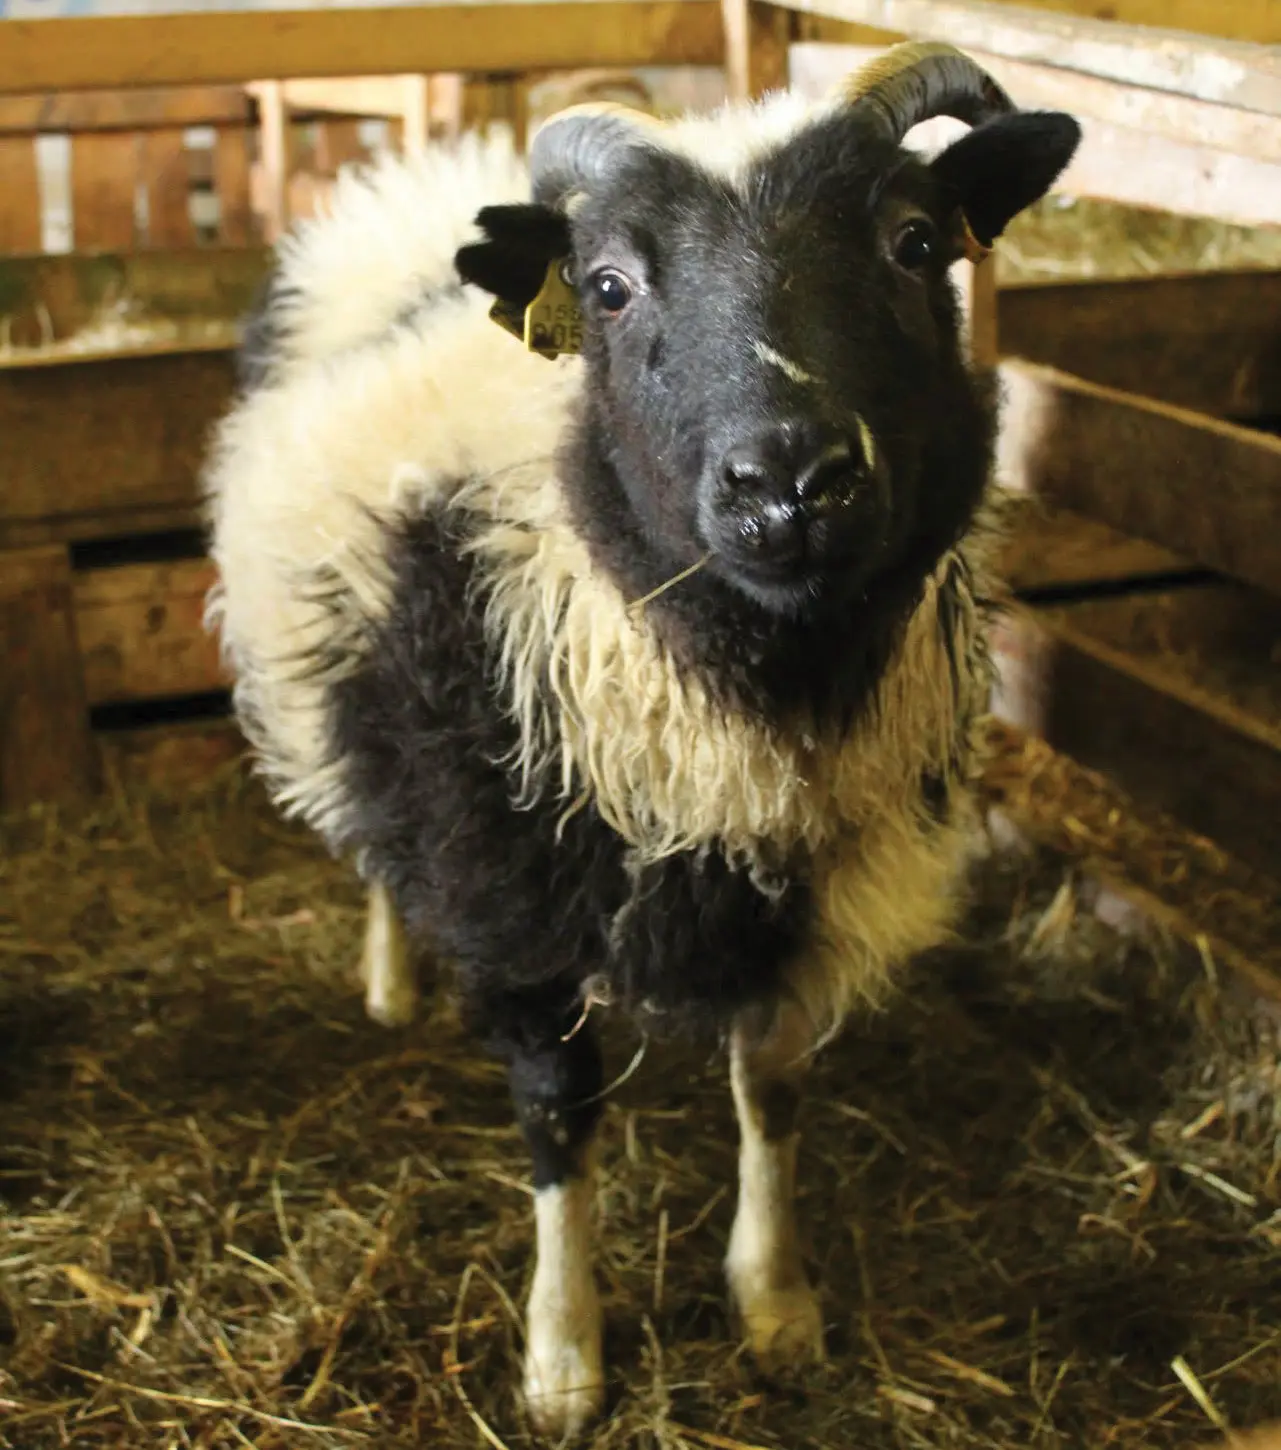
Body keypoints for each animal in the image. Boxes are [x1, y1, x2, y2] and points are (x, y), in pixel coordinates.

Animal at [203, 42, 1080, 1439]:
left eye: (914, 240)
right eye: (611, 286)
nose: (788, 483)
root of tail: (423, 183)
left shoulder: (800, 882)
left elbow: (770, 1089)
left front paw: (775, 1304)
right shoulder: (510, 882)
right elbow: (562, 1122)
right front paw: (564, 1357)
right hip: (344, 680)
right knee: (373, 831)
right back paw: (393, 981)